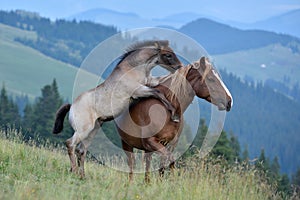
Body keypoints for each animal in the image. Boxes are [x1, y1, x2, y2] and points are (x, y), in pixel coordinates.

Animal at [52, 39, 183, 177]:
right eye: (168, 55)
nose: (179, 66)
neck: (133, 69)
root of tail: (72, 106)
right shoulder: (139, 90)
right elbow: (158, 93)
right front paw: (174, 114)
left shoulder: (150, 82)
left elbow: (160, 82)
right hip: (84, 130)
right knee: (70, 144)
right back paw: (74, 171)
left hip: (93, 129)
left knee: (81, 150)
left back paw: (82, 176)